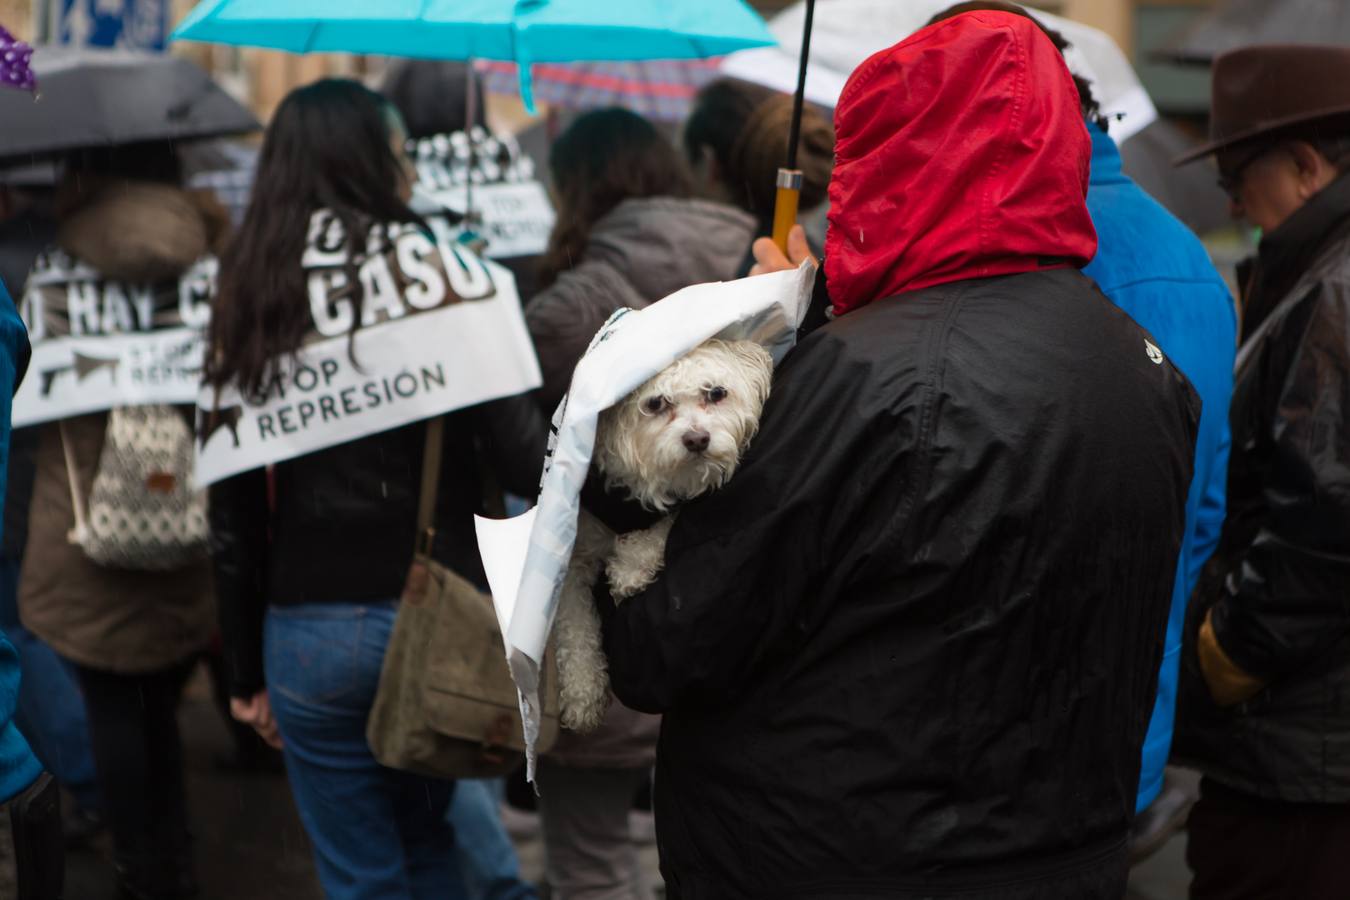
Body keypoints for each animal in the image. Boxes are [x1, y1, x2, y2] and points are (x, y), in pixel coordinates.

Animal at [553, 337, 777, 734]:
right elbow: (575, 625)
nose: (697, 439)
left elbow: (666, 525)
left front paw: (629, 567)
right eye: (656, 403)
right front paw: (583, 693)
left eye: (716, 392)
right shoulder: (577, 552)